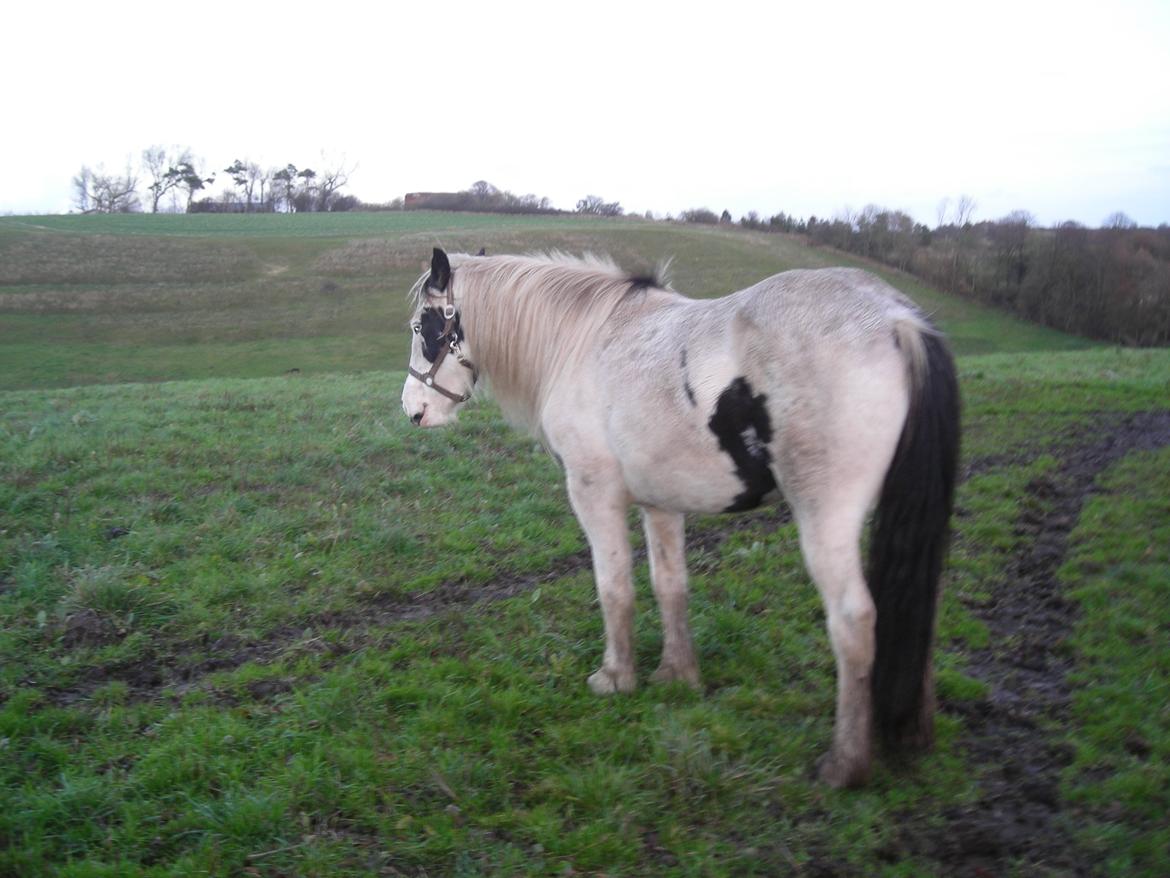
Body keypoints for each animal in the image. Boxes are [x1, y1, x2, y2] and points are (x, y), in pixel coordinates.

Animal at [397, 249, 954, 791]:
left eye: (425, 325)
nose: (413, 410)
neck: (583, 343)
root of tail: (896, 318)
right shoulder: (661, 504)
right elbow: (670, 585)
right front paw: (676, 674)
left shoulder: (593, 494)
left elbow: (614, 587)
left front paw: (616, 677)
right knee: (912, 599)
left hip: (825, 519)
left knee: (854, 622)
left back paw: (845, 765)